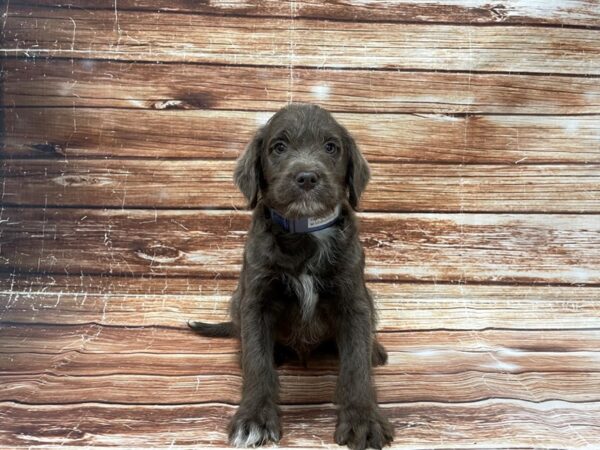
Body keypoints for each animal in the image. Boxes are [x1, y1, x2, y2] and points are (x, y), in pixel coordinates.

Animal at [189, 103, 394, 448]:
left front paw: (362, 419)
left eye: (331, 147)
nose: (307, 177)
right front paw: (254, 419)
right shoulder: (255, 299)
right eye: (279, 147)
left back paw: (375, 349)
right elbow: (257, 360)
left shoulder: (354, 299)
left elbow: (356, 363)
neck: (305, 233)